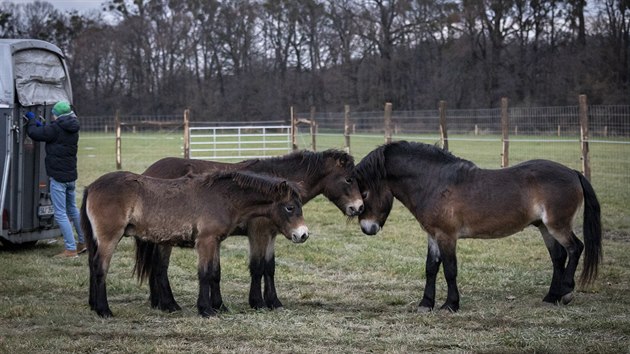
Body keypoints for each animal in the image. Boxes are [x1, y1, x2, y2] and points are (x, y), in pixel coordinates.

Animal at [137, 149, 366, 312]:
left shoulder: (271, 235)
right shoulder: (258, 233)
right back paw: (169, 304)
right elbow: (257, 267)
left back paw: (158, 302)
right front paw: (258, 302)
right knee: (160, 267)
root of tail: (147, 174)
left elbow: (269, 267)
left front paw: (273, 302)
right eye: (348, 179)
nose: (359, 207)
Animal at [356, 141, 604, 312]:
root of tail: (573, 172)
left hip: (557, 225)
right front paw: (426, 303)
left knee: (575, 248)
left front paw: (451, 304)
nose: (367, 228)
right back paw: (551, 297)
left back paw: (567, 292)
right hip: (544, 227)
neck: (434, 182)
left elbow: (450, 270)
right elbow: (430, 268)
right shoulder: (433, 235)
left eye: (365, 193)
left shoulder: (447, 236)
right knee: (558, 257)